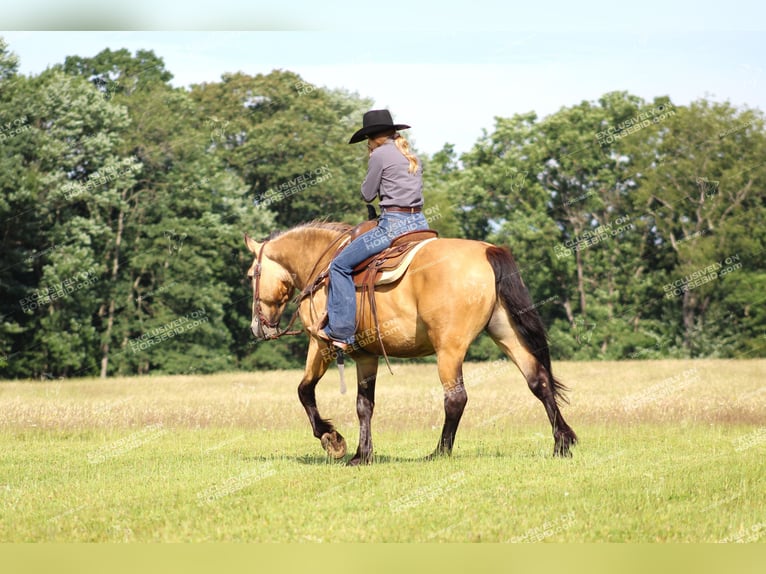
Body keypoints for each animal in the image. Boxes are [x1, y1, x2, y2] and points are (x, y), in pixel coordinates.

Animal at [244, 223, 576, 466]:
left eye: (250, 275)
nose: (257, 327)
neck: (322, 268)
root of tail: (487, 251)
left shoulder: (320, 344)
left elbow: (304, 391)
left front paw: (332, 440)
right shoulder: (366, 357)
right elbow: (364, 405)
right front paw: (362, 455)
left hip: (449, 350)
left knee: (456, 398)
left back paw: (439, 452)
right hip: (505, 332)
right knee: (538, 381)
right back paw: (562, 442)